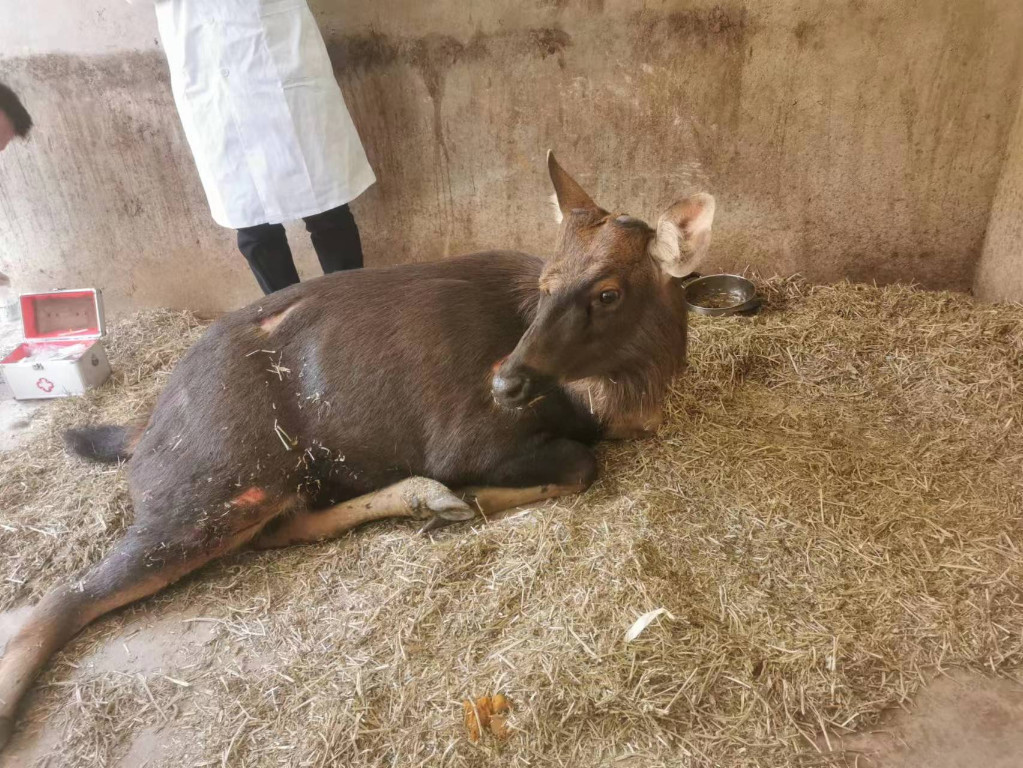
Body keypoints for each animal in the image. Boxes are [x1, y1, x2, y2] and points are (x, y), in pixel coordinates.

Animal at [0, 153, 714, 749]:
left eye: (609, 292)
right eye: (544, 281)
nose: (505, 381)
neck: (617, 402)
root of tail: (146, 430)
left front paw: (451, 503)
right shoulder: (467, 438)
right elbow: (579, 462)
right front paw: (474, 496)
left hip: (269, 483)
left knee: (282, 528)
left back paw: (426, 500)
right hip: (213, 482)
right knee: (63, 596)